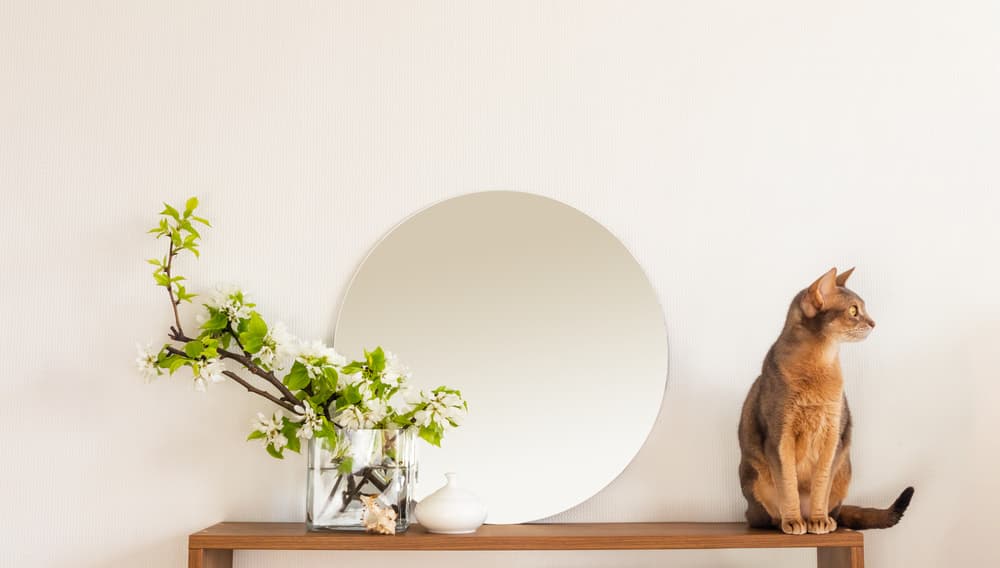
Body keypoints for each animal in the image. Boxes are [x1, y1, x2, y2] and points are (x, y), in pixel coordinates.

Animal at [736, 268, 916, 536]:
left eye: (863, 308)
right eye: (853, 310)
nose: (873, 322)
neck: (821, 363)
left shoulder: (833, 436)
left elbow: (822, 483)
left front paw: (818, 519)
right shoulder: (780, 437)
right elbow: (787, 484)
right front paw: (793, 520)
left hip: (845, 470)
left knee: (837, 511)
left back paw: (825, 519)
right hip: (754, 478)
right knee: (763, 516)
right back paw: (786, 520)